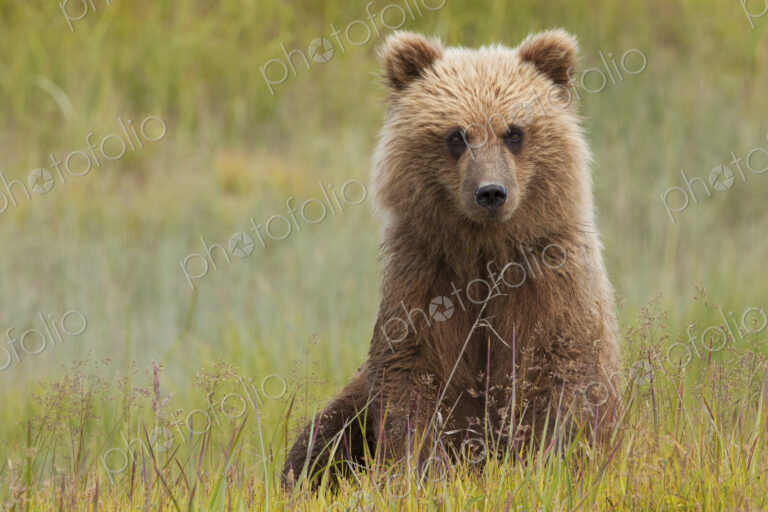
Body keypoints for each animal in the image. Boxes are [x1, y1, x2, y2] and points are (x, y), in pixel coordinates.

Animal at [282, 29, 620, 487]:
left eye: (514, 132)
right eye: (456, 136)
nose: (491, 192)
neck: (486, 253)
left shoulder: (552, 281)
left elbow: (568, 376)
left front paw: (545, 464)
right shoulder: (425, 281)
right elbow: (410, 383)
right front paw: (423, 473)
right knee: (325, 433)